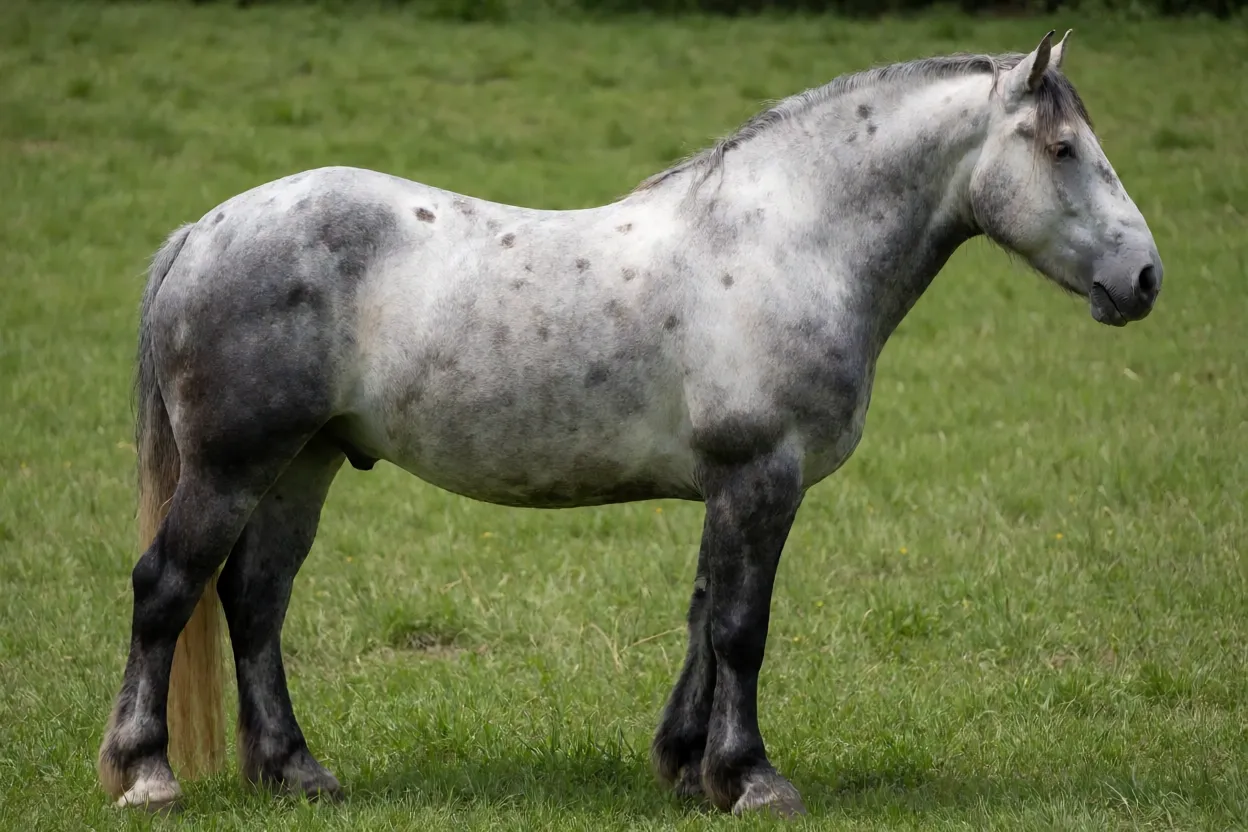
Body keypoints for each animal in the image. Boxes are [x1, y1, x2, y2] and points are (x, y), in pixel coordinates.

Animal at [98, 30, 1163, 817]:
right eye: (1062, 150)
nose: (1144, 278)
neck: (783, 242)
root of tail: (204, 231)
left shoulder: (728, 487)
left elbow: (702, 617)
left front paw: (690, 767)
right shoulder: (760, 476)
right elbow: (740, 628)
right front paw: (754, 780)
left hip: (302, 466)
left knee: (254, 602)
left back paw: (296, 772)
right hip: (232, 467)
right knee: (167, 587)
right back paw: (147, 773)